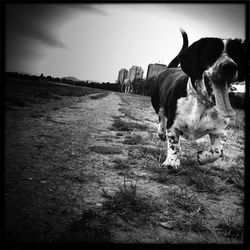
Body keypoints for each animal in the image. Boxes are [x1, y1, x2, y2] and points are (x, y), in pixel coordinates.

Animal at [151, 29, 245, 170]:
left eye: (235, 55)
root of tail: (169, 69)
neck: (202, 102)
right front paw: (171, 162)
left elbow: (218, 150)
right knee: (161, 116)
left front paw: (202, 157)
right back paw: (161, 133)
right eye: (210, 52)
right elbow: (174, 145)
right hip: (157, 103)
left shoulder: (220, 131)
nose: (230, 66)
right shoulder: (173, 126)